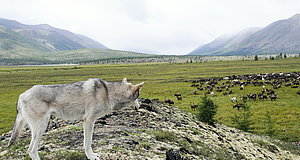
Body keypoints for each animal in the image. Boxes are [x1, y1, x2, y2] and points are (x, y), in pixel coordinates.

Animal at [7, 77, 143, 159]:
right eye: (138, 96)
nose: (140, 107)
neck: (108, 93)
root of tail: (21, 95)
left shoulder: (88, 121)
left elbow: (87, 142)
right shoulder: (89, 121)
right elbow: (88, 143)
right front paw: (91, 157)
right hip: (41, 128)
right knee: (31, 150)